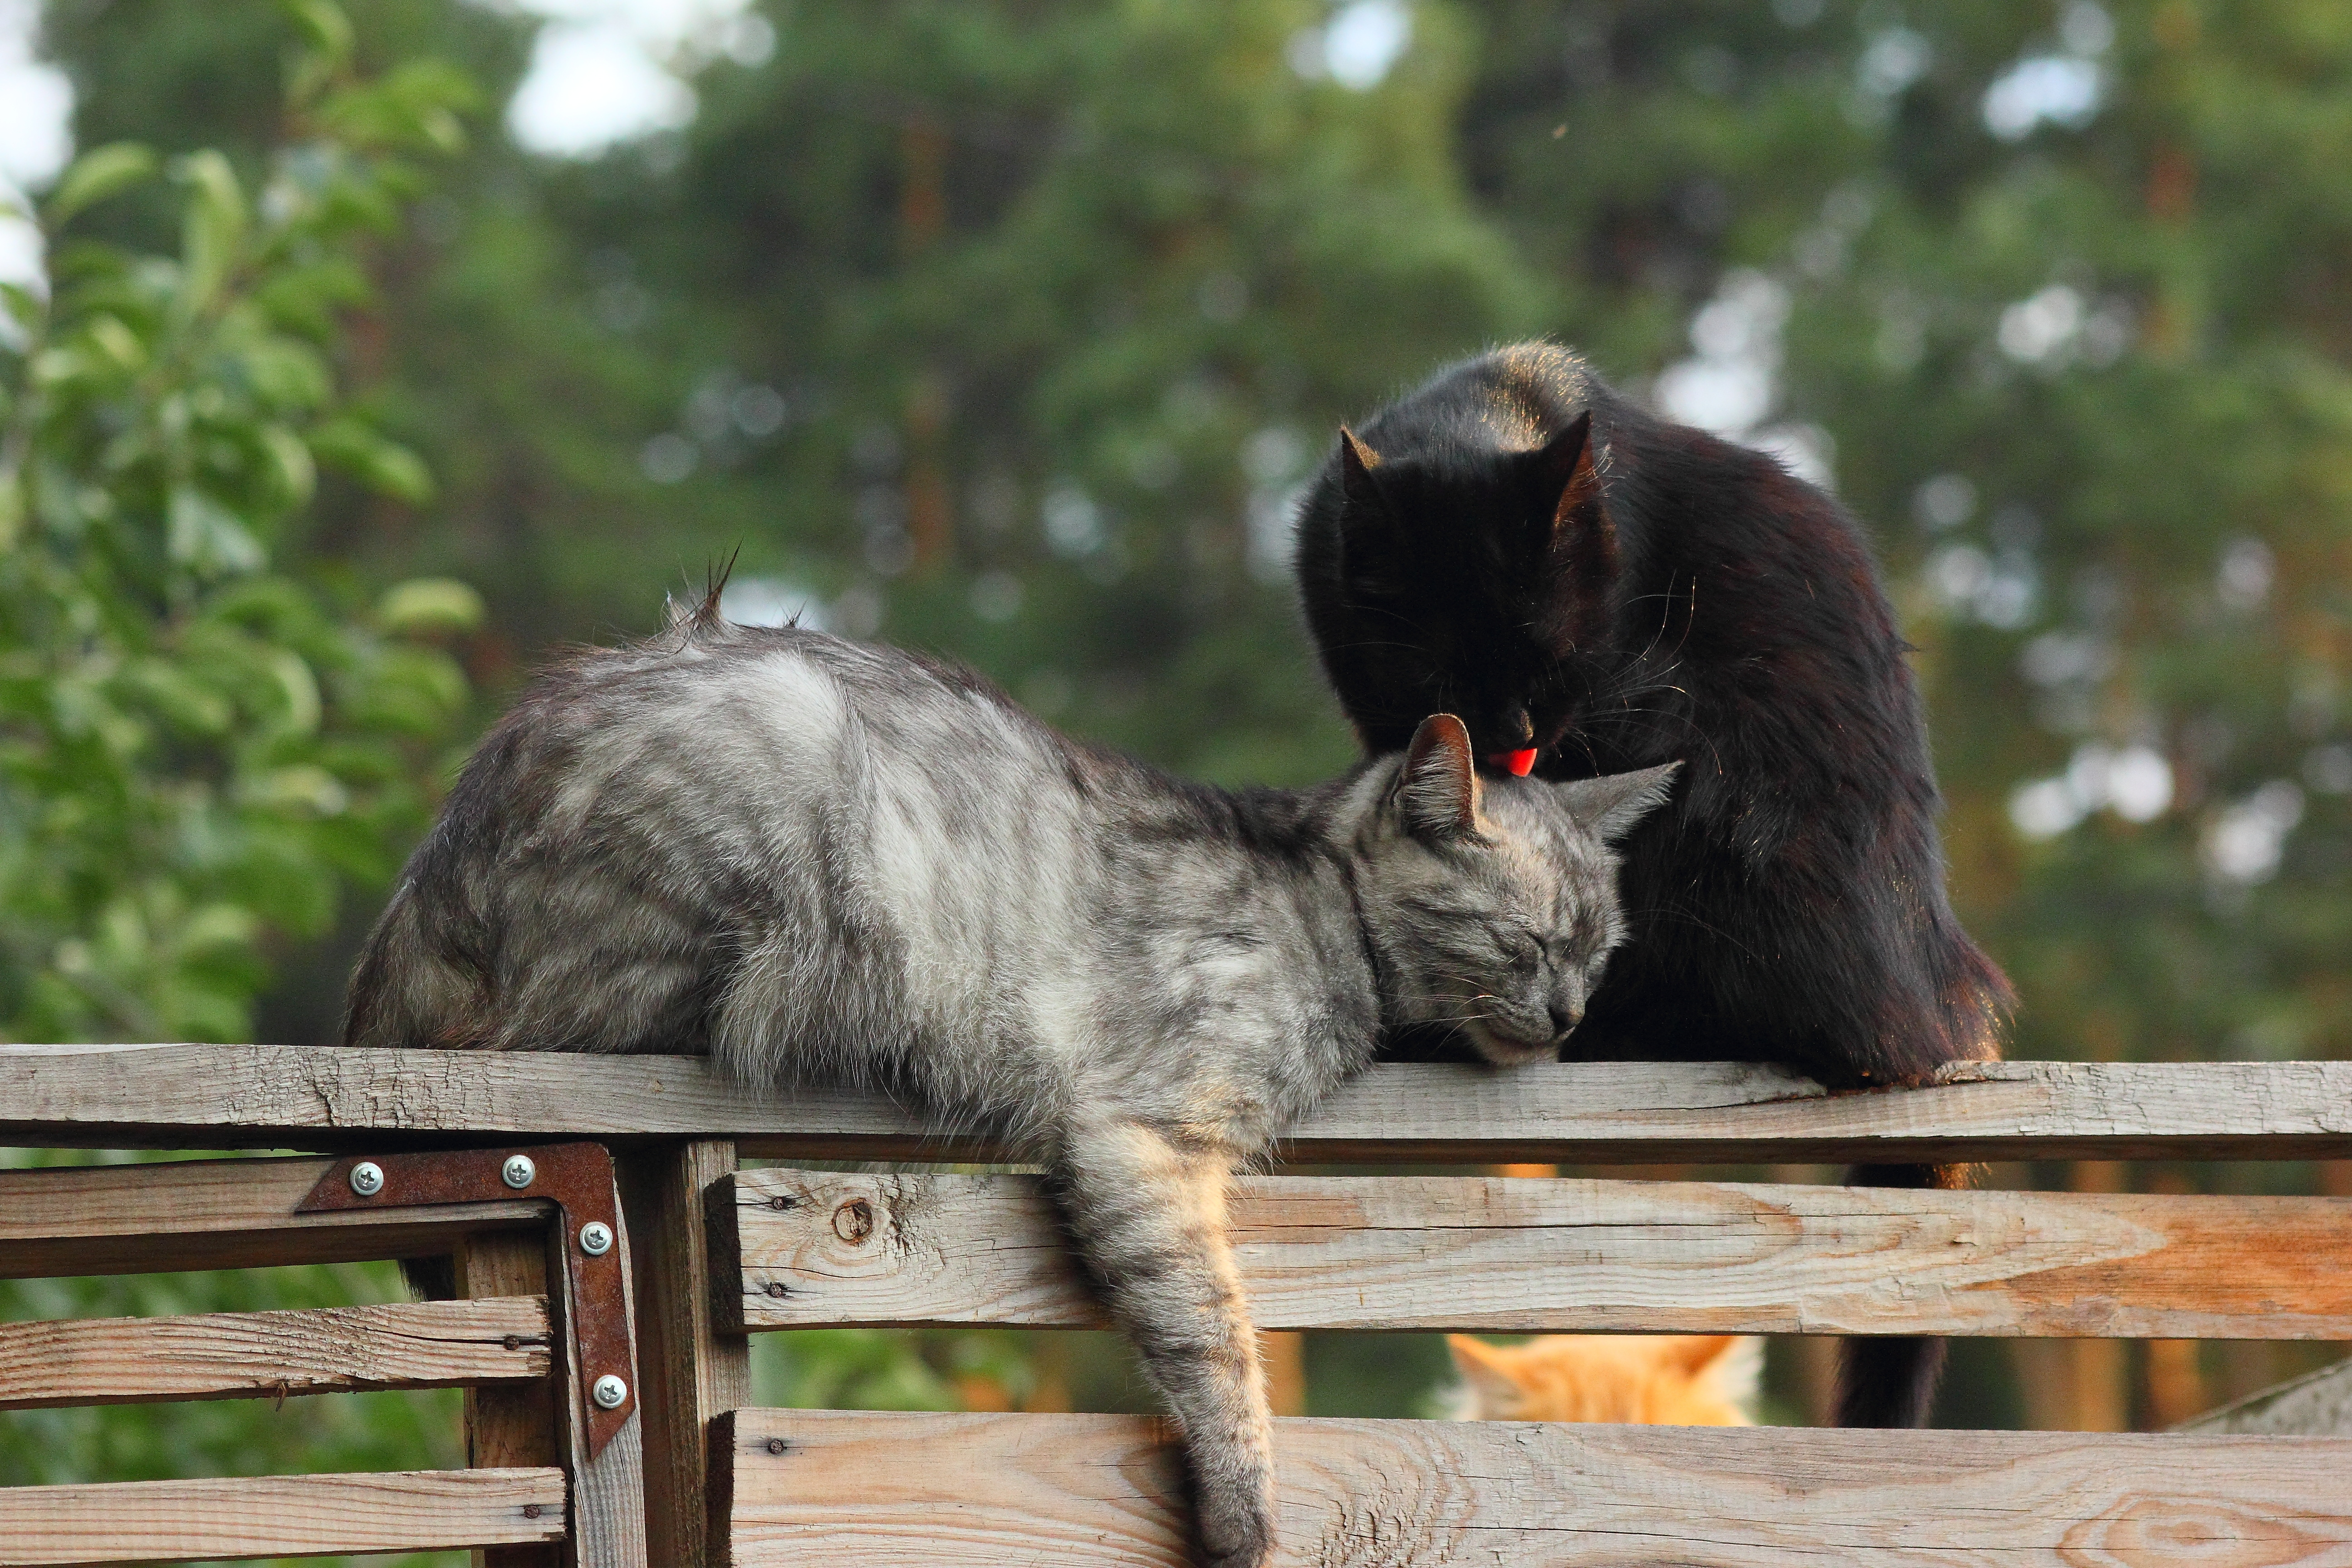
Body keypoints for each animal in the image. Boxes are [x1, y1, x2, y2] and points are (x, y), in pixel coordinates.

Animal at [343, 606, 1675, 1568]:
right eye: (1527, 943)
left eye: (1600, 953)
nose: (1569, 1018)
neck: (1320, 903)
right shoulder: (1145, 1137)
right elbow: (1216, 1341)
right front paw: (1245, 1512)